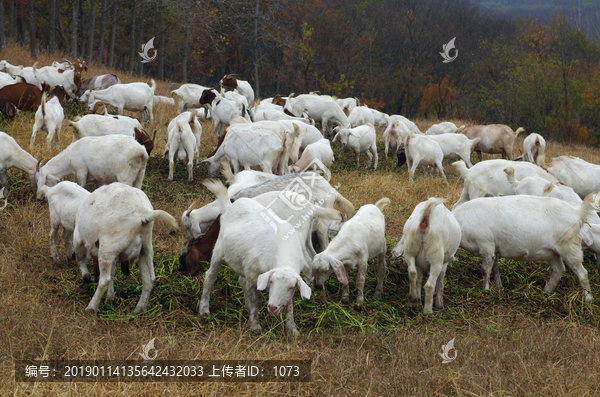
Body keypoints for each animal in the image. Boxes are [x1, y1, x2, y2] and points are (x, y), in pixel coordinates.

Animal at [73, 183, 178, 312]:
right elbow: (112, 273)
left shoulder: (78, 239)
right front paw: (109, 297)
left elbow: (80, 260)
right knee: (149, 279)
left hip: (108, 246)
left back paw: (91, 307)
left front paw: (87, 279)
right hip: (145, 247)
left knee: (105, 280)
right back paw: (139, 309)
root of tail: (143, 212)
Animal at [454, 193, 596, 302]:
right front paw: (499, 287)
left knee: (582, 273)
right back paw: (546, 291)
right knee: (559, 269)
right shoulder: (495, 248)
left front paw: (485, 291)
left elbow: (485, 270)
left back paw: (588, 299)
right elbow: (495, 268)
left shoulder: (486, 245)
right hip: (552, 252)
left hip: (570, 247)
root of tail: (577, 212)